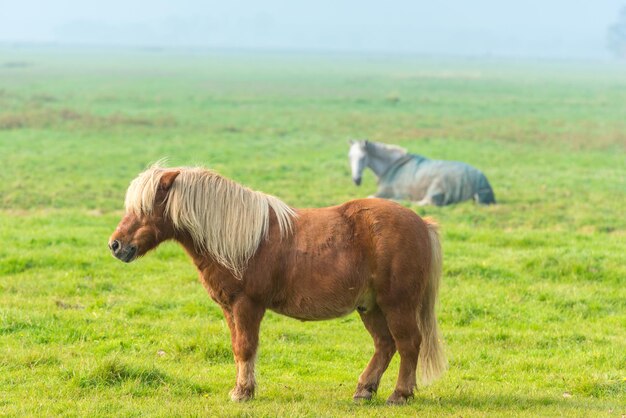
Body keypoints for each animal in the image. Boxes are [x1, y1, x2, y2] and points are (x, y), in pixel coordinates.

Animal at [111, 164, 444, 404]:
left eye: (145, 209)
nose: (115, 245)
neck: (240, 239)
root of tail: (421, 223)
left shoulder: (247, 305)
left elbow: (246, 347)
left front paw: (243, 393)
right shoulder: (229, 308)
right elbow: (237, 348)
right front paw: (241, 389)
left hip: (397, 304)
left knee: (408, 344)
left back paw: (399, 394)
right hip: (370, 307)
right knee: (385, 345)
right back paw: (364, 390)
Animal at [348, 140, 494, 207]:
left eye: (363, 157)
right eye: (350, 157)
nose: (356, 180)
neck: (391, 166)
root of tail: (481, 183)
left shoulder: (384, 192)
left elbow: (369, 198)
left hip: (435, 187)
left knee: (424, 202)